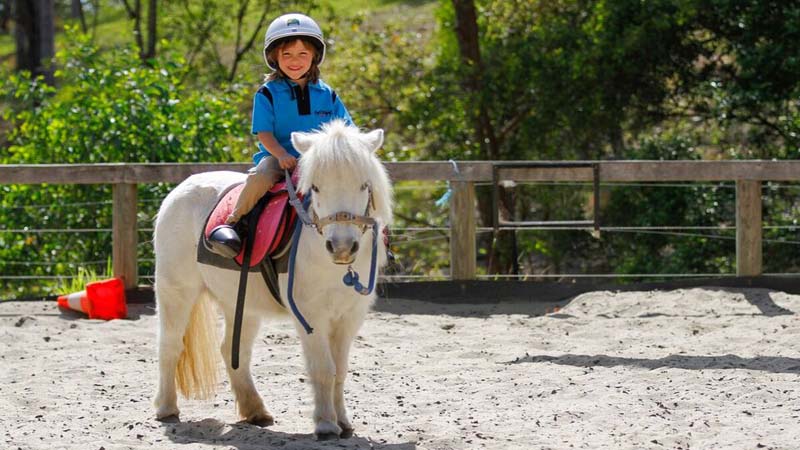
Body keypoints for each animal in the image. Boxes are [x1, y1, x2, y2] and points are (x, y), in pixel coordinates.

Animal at [152, 120, 392, 440]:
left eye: (364, 185)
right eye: (316, 187)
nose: (341, 247)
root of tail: (181, 188)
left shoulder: (349, 317)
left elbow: (340, 370)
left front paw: (343, 423)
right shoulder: (310, 315)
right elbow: (323, 369)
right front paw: (325, 424)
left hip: (241, 305)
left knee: (233, 351)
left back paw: (256, 411)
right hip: (175, 291)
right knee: (170, 345)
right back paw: (167, 408)